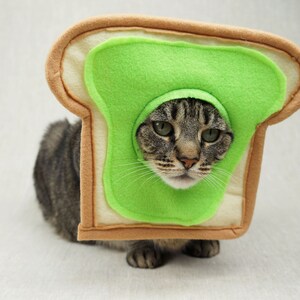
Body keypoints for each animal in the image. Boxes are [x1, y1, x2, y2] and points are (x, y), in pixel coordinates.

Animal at [34, 98, 233, 270]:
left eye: (210, 134)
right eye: (162, 127)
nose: (189, 160)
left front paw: (203, 239)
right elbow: (129, 227)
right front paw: (142, 249)